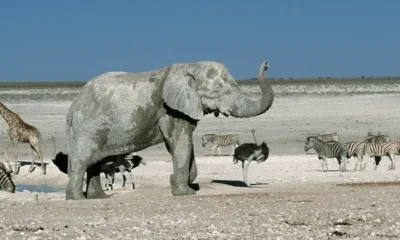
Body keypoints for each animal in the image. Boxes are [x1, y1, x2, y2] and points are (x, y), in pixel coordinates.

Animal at [65, 61, 274, 200]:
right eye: (216, 92)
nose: (266, 64)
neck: (190, 66)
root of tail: (73, 106)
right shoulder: (171, 109)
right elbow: (181, 144)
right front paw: (185, 193)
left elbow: (182, 145)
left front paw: (182, 182)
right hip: (89, 128)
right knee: (83, 161)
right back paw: (78, 199)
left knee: (94, 163)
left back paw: (98, 198)